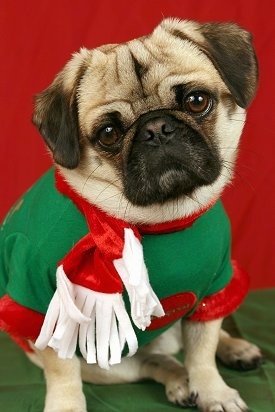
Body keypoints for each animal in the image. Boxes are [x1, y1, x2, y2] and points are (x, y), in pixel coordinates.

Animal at [0, 16, 264, 412]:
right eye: (109, 134)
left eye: (197, 101)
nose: (156, 128)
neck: (156, 221)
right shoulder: (52, 309)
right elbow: (63, 372)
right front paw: (66, 405)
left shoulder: (212, 289)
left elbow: (203, 348)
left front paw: (213, 391)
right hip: (106, 363)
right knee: (155, 361)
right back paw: (179, 381)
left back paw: (233, 350)